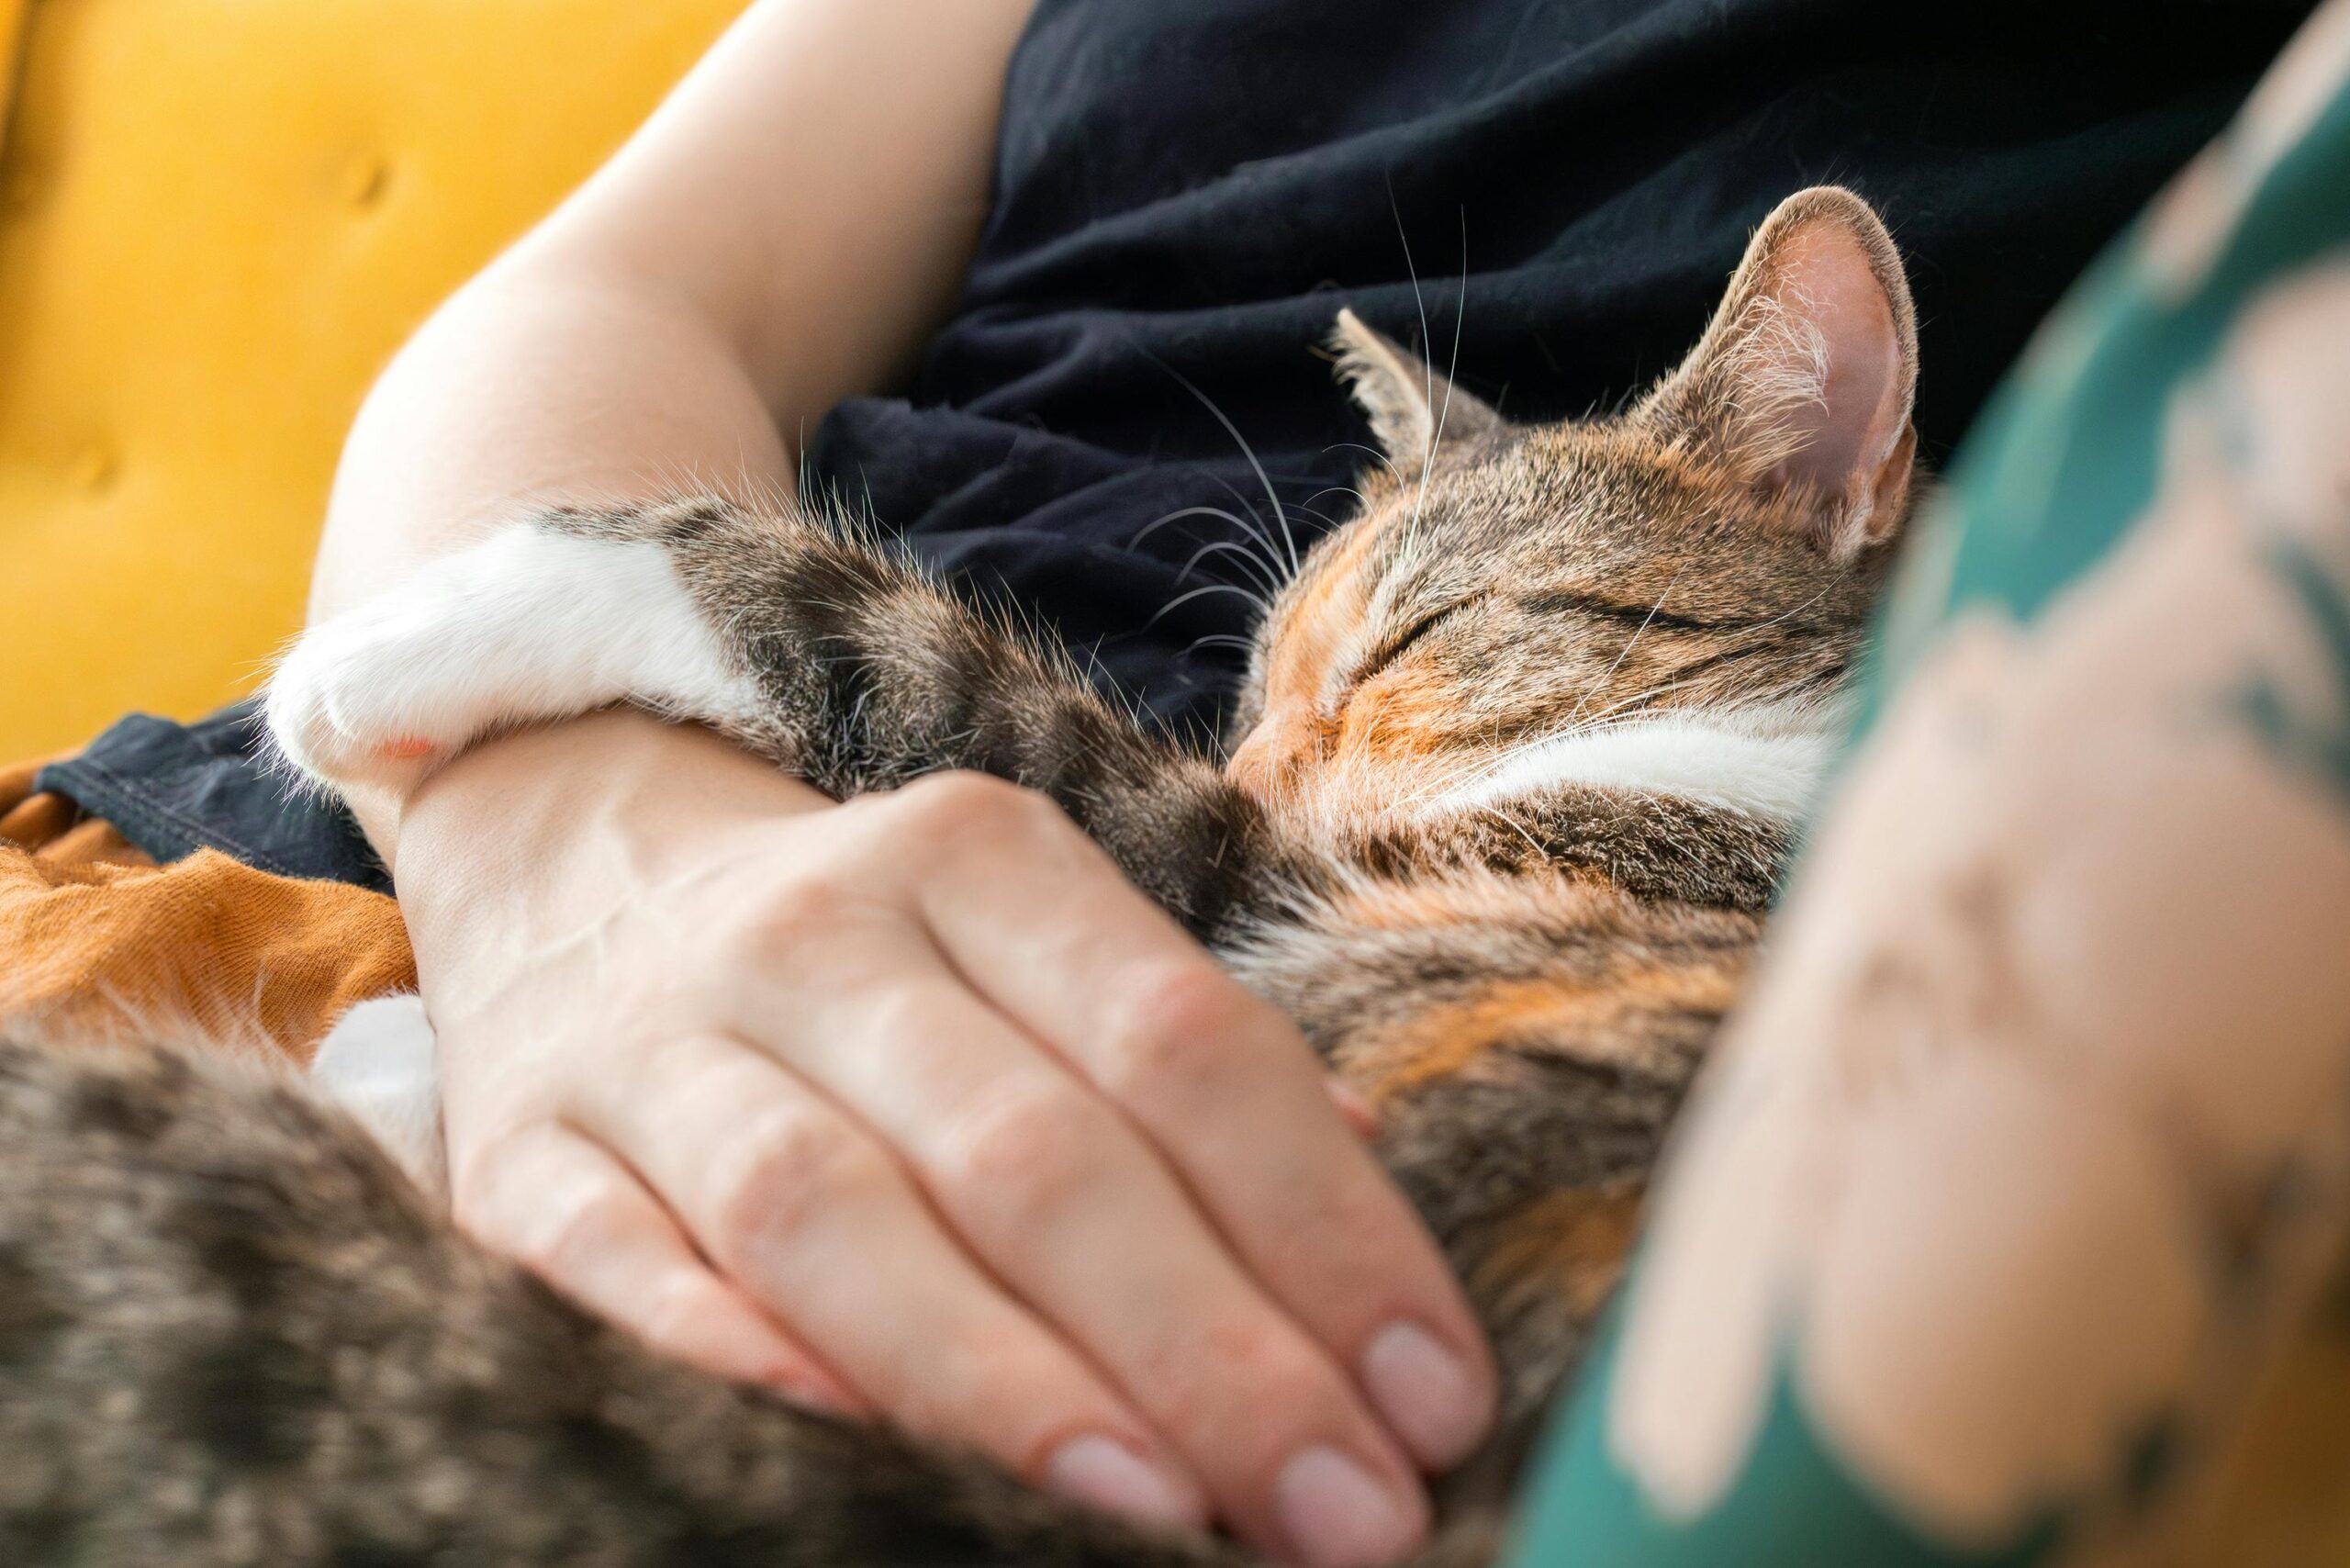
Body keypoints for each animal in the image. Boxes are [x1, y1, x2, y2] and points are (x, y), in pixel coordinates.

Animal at [0, 190, 1917, 1561]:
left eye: (1409, 640)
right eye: (1252, 680)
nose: (1248, 758)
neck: (1773, 762)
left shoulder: (1262, 884)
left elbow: (932, 668)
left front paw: (409, 641)